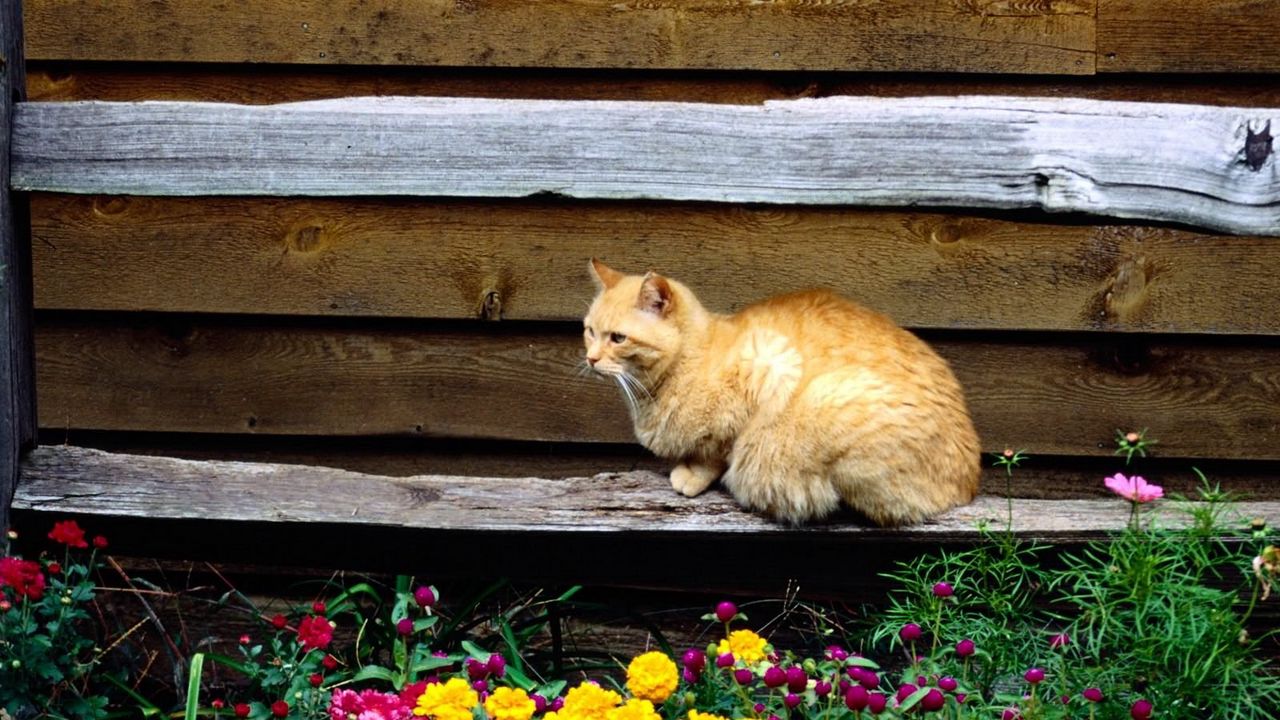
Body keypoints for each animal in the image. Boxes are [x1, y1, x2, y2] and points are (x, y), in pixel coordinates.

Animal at [583, 256, 977, 520]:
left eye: (617, 338)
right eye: (588, 330)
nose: (590, 358)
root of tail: (970, 486)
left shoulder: (770, 368)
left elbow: (720, 450)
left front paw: (692, 474)